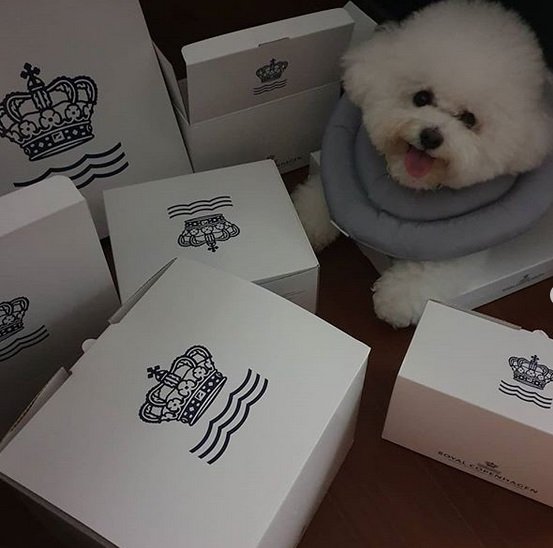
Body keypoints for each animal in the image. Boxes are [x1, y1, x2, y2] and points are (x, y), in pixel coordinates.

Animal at [292, 0, 548, 326]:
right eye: (422, 97)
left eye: (469, 119)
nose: (430, 136)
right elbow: (326, 192)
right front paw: (306, 219)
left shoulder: (459, 240)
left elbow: (432, 267)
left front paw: (395, 298)